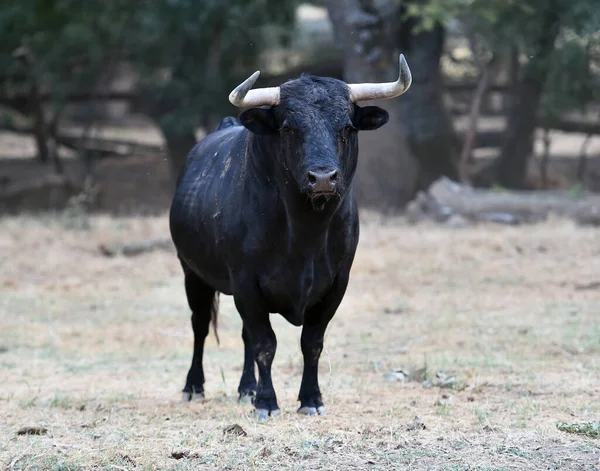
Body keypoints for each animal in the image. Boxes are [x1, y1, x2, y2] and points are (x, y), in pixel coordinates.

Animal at [169, 53, 412, 418]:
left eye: (347, 127)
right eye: (288, 128)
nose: (323, 177)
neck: (304, 235)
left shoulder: (336, 283)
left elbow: (311, 343)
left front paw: (310, 399)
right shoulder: (246, 282)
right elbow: (265, 344)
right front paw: (267, 402)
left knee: (243, 334)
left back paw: (246, 388)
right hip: (192, 273)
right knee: (200, 325)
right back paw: (194, 387)